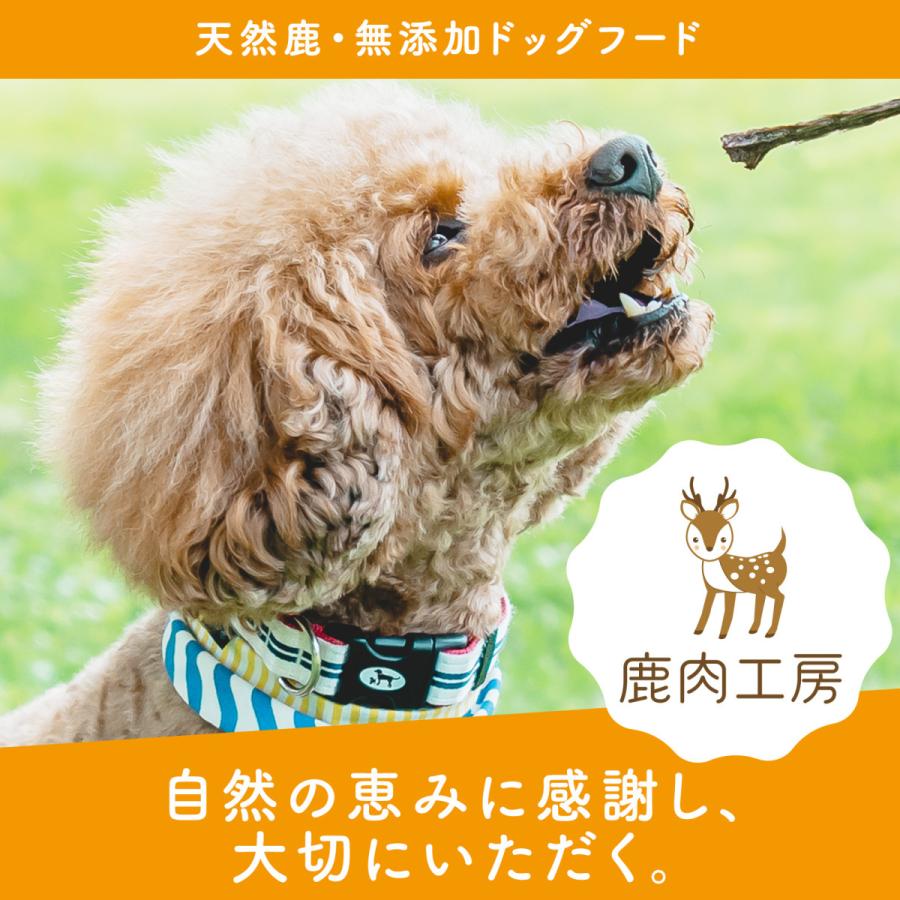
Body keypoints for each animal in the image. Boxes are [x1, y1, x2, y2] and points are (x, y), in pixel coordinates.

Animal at [680, 477, 787, 639]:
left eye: (723, 539)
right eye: (695, 539)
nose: (709, 548)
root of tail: (778, 552)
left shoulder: (729, 590)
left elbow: (728, 612)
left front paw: (722, 635)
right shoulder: (711, 590)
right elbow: (706, 609)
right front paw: (698, 630)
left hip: (769, 585)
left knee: (781, 597)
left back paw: (769, 632)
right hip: (760, 589)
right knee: (761, 602)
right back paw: (753, 629)